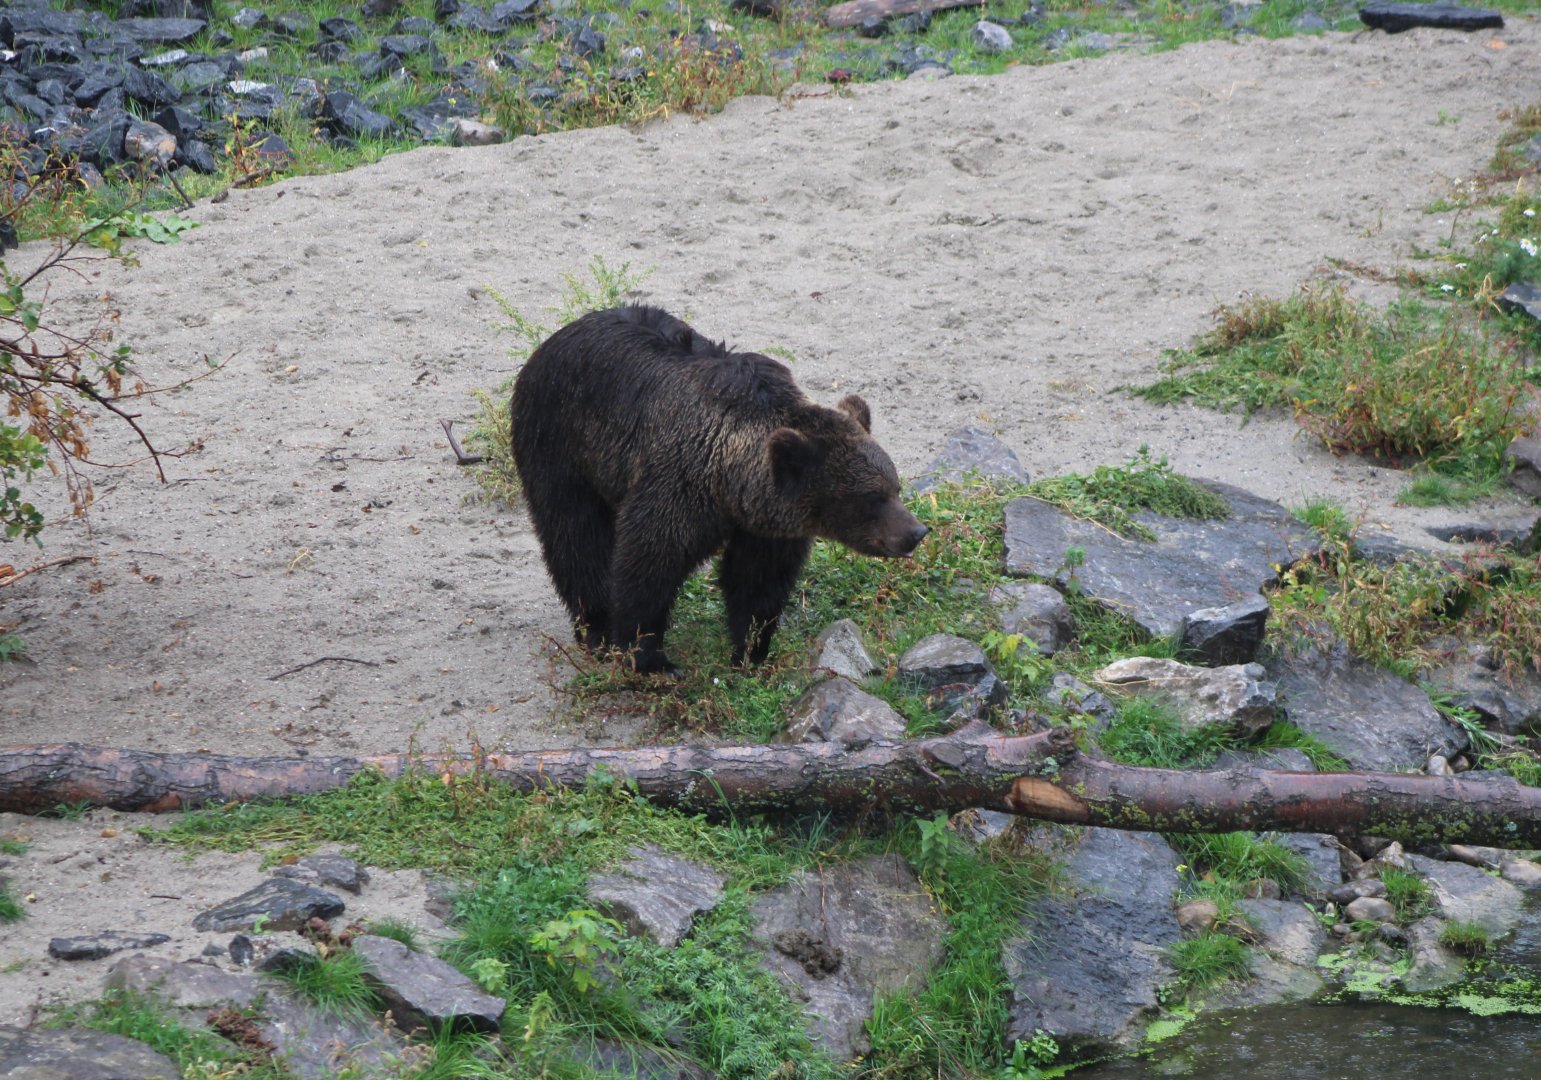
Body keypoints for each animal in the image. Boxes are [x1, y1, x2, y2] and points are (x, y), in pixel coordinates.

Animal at [510, 304, 928, 675]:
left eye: (895, 486)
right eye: (871, 497)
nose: (916, 532)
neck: (730, 482)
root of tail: (556, 337)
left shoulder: (767, 526)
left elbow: (757, 583)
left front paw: (752, 652)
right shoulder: (677, 482)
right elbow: (647, 564)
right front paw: (647, 656)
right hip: (560, 442)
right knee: (575, 534)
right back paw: (594, 627)